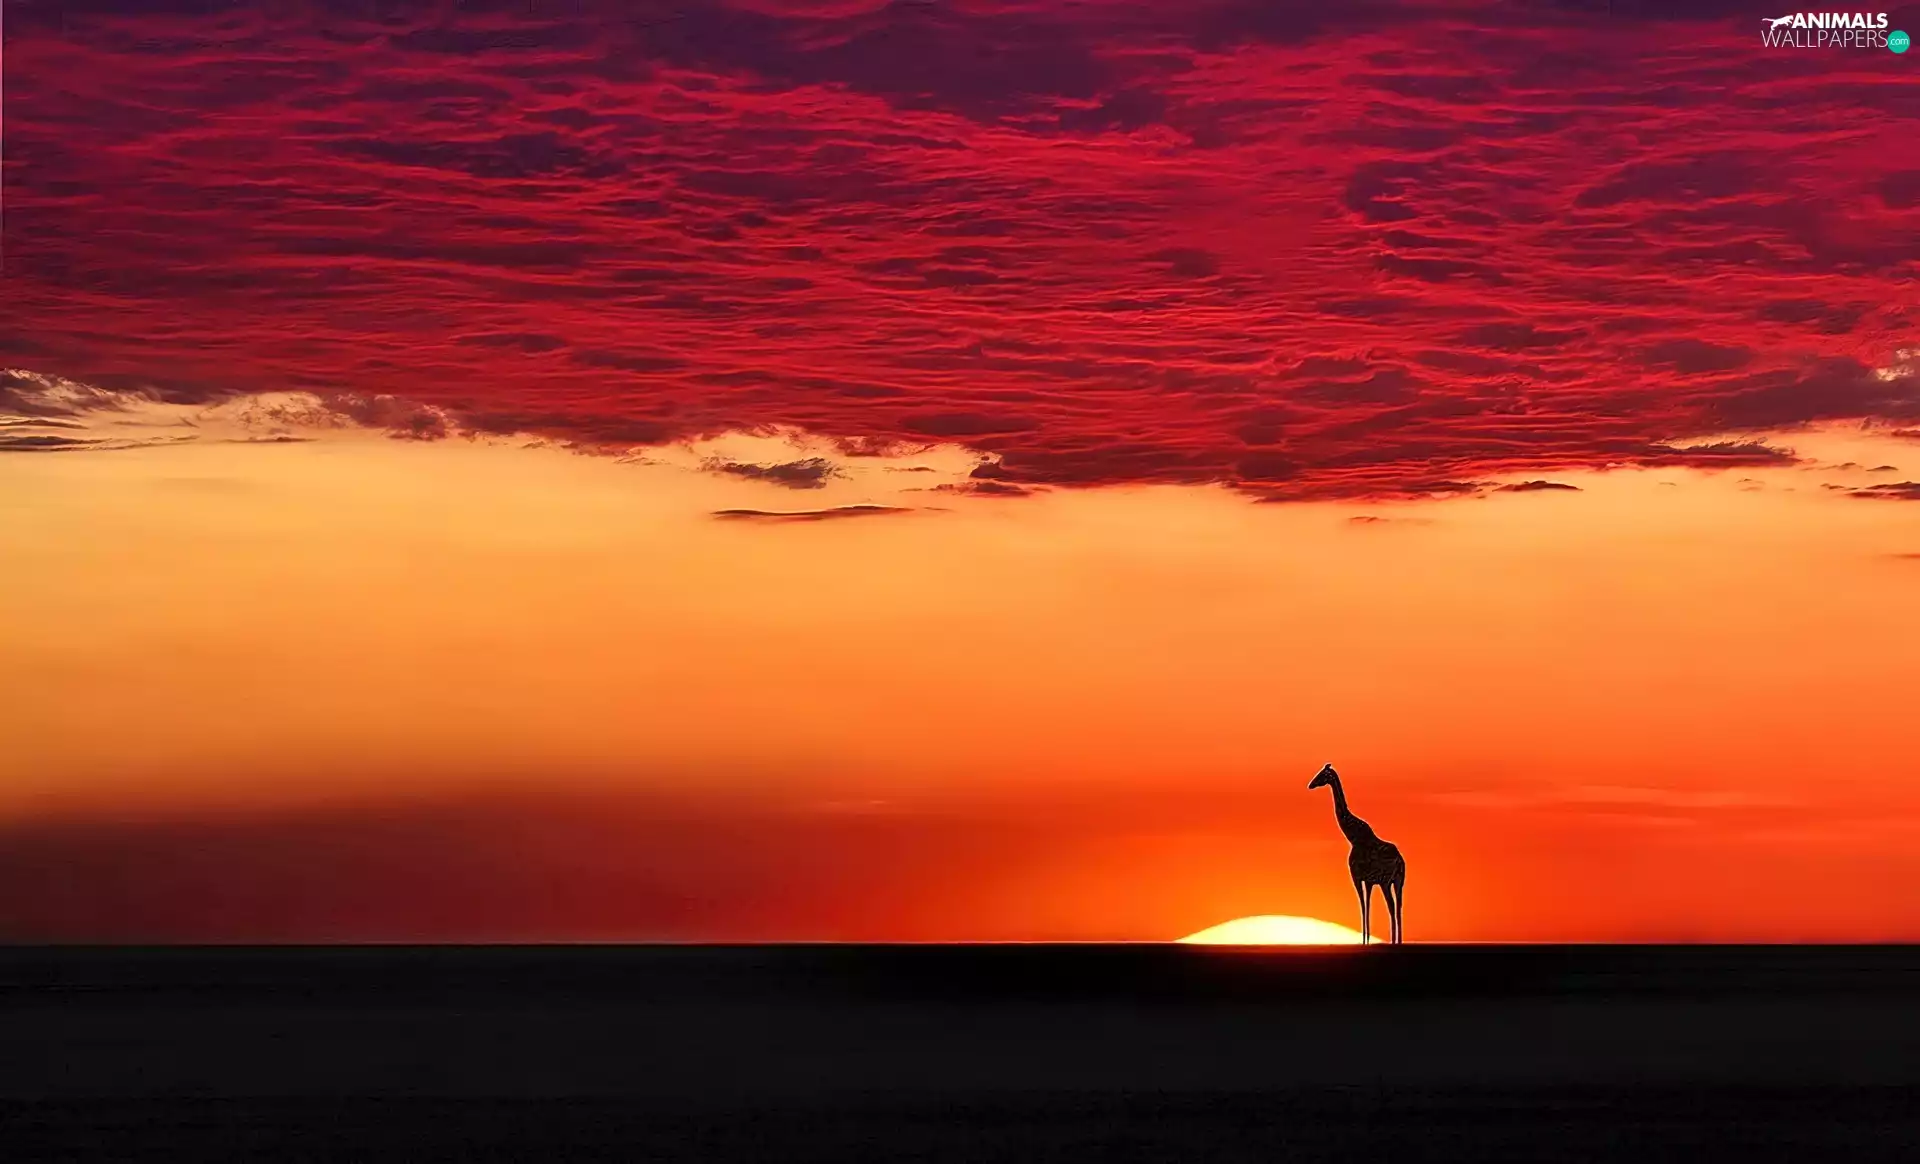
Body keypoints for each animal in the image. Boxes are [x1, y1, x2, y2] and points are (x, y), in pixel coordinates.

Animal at [1307, 763, 1406, 944]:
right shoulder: (1369, 881)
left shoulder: (1357, 877)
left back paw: (1394, 941)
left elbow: (1362, 905)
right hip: (1398, 881)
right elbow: (1367, 906)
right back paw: (1398, 941)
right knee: (1398, 907)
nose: (1310, 784)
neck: (1352, 837)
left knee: (1392, 907)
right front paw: (1367, 940)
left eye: (1322, 774)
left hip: (1386, 882)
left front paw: (1364, 941)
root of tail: (1400, 861)